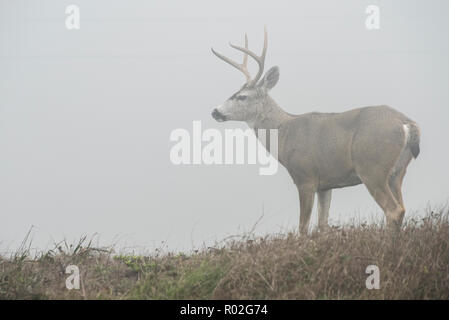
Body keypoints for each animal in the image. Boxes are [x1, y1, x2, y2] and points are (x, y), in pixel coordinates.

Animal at [210, 27, 420, 234]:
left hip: (372, 167)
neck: (284, 134)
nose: (215, 111)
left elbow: (303, 227)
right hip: (397, 172)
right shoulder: (326, 184)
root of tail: (406, 123)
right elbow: (322, 225)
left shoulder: (305, 177)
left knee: (393, 210)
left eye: (242, 96)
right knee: (401, 208)